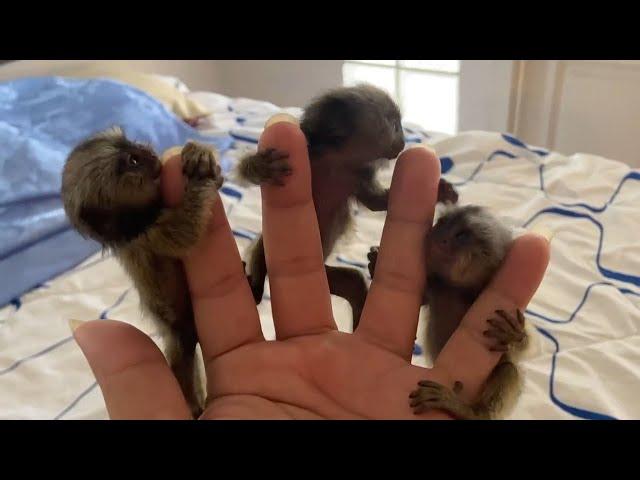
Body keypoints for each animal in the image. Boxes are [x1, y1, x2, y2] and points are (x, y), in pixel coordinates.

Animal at [62, 127, 222, 416]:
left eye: (131, 143)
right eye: (133, 161)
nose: (147, 151)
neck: (137, 220)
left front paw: (197, 151)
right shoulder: (146, 238)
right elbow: (186, 234)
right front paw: (201, 183)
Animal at [238, 83, 458, 330]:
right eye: (394, 125)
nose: (402, 142)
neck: (336, 161)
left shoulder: (357, 174)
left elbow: (377, 203)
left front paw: (441, 191)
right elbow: (246, 171)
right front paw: (261, 166)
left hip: (327, 277)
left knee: (353, 283)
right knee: (261, 249)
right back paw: (256, 288)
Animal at [370, 204, 528, 418]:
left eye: (461, 235)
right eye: (443, 223)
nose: (441, 237)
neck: (459, 291)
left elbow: (522, 351)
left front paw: (513, 333)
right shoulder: (438, 287)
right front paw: (373, 263)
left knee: (508, 369)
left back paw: (468, 411)